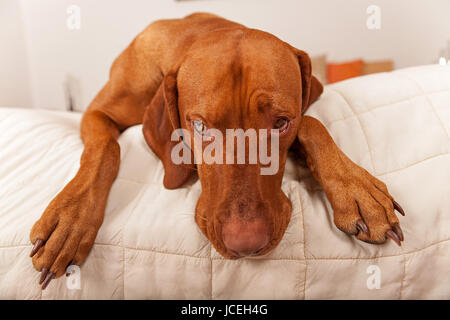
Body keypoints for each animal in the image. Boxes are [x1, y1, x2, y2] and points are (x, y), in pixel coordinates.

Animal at [29, 12, 406, 288]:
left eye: (281, 122)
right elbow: (105, 150)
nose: (246, 245)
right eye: (199, 126)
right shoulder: (96, 113)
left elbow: (311, 122)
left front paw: (357, 189)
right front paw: (70, 220)